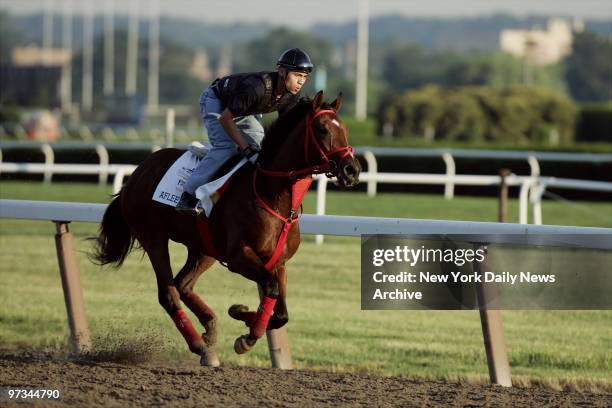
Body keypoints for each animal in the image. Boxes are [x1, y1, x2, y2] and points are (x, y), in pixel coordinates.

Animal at [89, 91, 358, 366]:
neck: (270, 193)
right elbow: (271, 290)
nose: (352, 170)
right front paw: (247, 336)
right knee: (169, 293)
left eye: (345, 129)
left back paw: (210, 328)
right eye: (322, 129)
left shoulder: (279, 262)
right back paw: (200, 346)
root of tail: (136, 174)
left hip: (203, 248)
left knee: (183, 284)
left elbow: (281, 313)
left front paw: (241, 313)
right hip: (153, 237)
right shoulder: (239, 257)